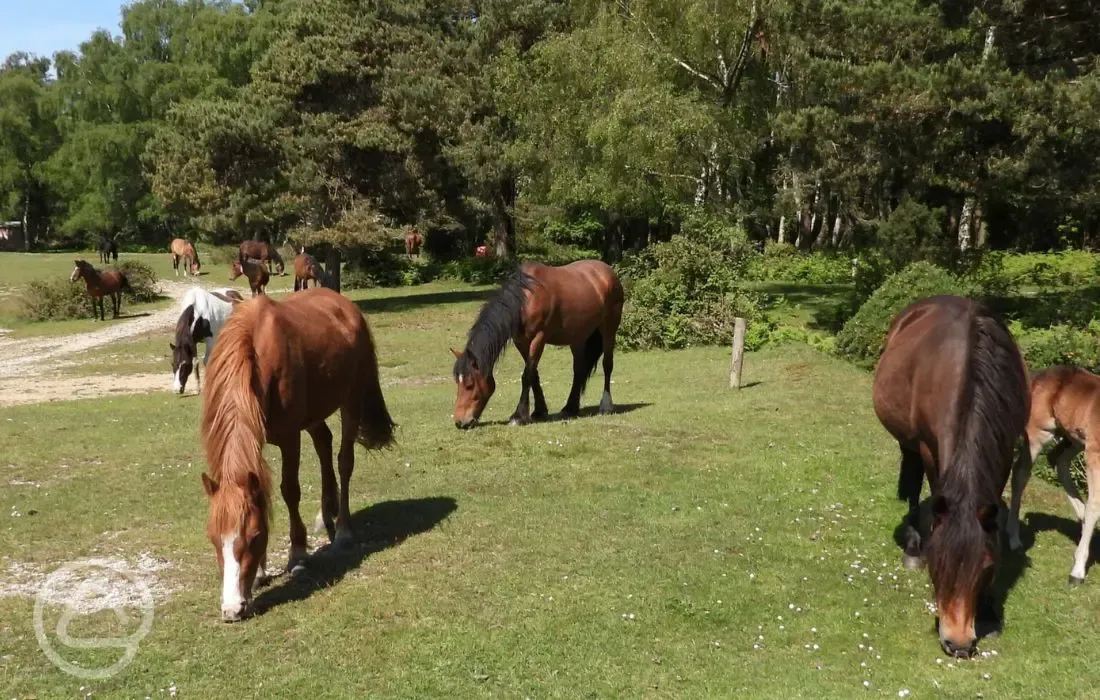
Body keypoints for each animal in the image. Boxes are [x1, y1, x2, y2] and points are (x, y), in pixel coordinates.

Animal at [199, 286, 396, 620]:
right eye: (214, 538)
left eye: (254, 536)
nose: (233, 609)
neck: (256, 354)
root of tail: (346, 307)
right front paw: (261, 572)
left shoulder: (290, 437)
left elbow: (290, 490)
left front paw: (298, 554)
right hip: (315, 414)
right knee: (324, 444)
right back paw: (325, 513)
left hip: (351, 401)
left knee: (344, 461)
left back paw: (342, 530)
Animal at [448, 259, 624, 429]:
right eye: (457, 382)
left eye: (470, 385)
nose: (460, 422)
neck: (525, 300)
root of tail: (608, 272)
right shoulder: (521, 342)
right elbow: (534, 374)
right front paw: (539, 411)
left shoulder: (539, 338)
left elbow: (527, 375)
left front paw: (518, 417)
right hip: (578, 337)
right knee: (579, 369)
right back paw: (570, 408)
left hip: (608, 329)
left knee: (607, 365)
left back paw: (606, 406)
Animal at [866, 294, 1029, 655]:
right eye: (937, 564)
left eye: (986, 567)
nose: (958, 644)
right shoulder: (929, 447)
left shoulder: (1004, 450)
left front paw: (989, 608)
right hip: (909, 442)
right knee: (914, 484)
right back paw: (912, 544)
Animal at [1007, 365, 1100, 585]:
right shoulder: (1094, 455)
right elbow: (1095, 506)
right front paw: (1077, 571)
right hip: (1039, 434)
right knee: (1020, 475)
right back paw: (1014, 540)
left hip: (1072, 438)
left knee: (1057, 461)